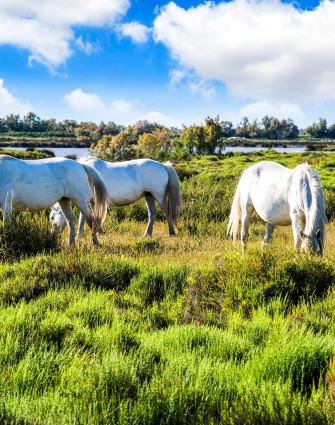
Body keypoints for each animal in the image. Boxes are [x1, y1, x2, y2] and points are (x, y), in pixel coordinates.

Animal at [50, 157, 182, 237]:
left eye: (52, 217)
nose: (54, 235)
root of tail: (163, 166)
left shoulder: (86, 200)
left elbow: (83, 217)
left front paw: (81, 233)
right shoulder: (93, 201)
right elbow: (95, 214)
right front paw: (99, 230)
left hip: (159, 195)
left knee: (167, 212)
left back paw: (171, 232)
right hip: (149, 196)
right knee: (152, 214)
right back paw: (147, 234)